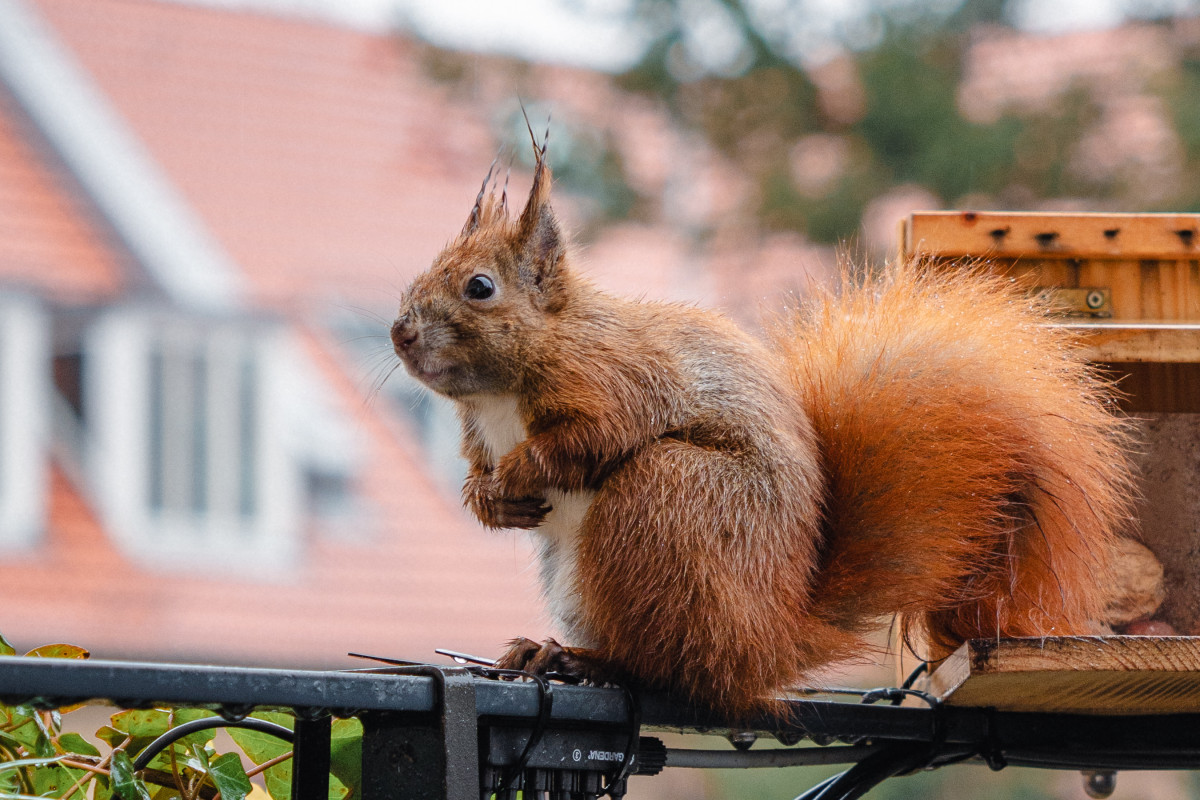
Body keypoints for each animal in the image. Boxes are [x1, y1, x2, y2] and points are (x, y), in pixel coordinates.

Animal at [393, 139, 1132, 719]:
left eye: (480, 287)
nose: (399, 333)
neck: (501, 391)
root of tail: (773, 636)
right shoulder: (478, 429)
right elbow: (478, 467)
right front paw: (487, 498)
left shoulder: (621, 381)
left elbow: (591, 438)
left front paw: (520, 471)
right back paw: (546, 650)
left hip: (666, 500)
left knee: (676, 672)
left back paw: (590, 662)